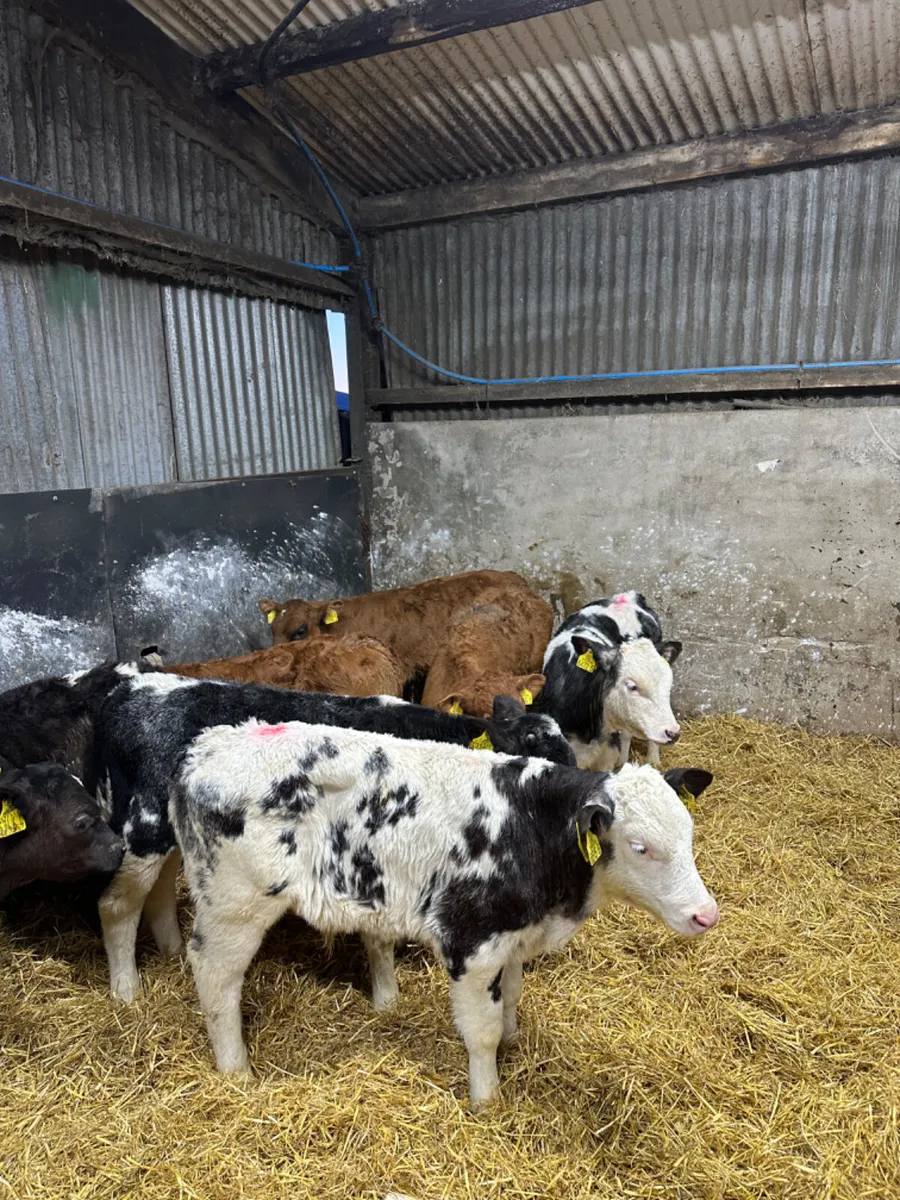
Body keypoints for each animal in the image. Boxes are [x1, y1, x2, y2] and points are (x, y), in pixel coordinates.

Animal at [94, 674, 575, 1002]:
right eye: (540, 756)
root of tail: (130, 692)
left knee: (157, 890)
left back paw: (172, 952)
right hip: (144, 825)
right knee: (117, 904)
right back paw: (126, 989)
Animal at [170, 719, 717, 1109]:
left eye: (689, 833)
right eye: (640, 847)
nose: (705, 914)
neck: (530, 824)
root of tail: (207, 746)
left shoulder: (514, 935)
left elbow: (511, 997)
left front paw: (514, 1041)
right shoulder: (471, 941)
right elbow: (482, 1030)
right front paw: (487, 1100)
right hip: (235, 903)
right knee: (216, 976)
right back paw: (236, 1071)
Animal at [535, 595, 682, 772]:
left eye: (668, 685)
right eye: (632, 686)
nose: (673, 732)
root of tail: (628, 596)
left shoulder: (607, 756)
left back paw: (652, 760)